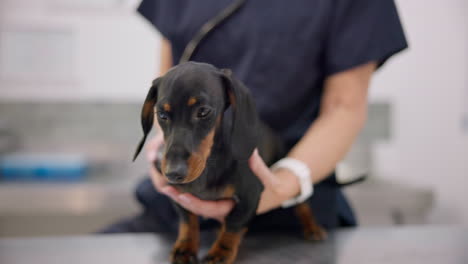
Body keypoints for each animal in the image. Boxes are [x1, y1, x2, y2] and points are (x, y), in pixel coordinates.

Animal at [133, 62, 326, 264]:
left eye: (203, 111)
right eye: (162, 114)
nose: (173, 173)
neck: (208, 167)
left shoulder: (250, 197)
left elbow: (233, 226)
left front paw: (220, 252)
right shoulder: (179, 197)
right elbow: (187, 221)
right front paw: (185, 247)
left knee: (302, 204)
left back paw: (312, 227)